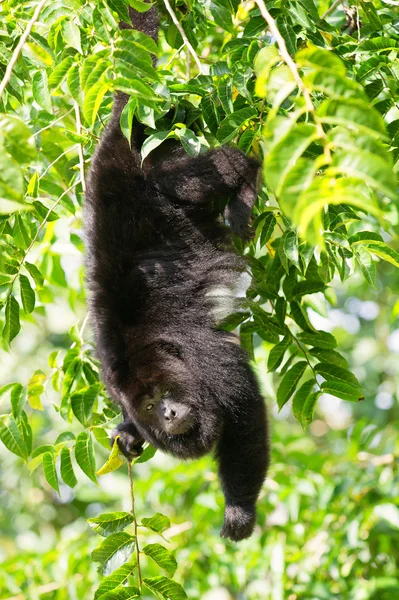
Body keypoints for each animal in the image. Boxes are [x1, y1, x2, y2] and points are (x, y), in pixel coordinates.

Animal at [85, 4, 270, 540]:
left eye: (162, 396)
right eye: (149, 407)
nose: (165, 414)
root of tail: (111, 142)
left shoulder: (203, 360)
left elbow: (245, 409)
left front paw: (239, 510)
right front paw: (127, 436)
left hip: (150, 154)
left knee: (194, 175)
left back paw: (244, 183)